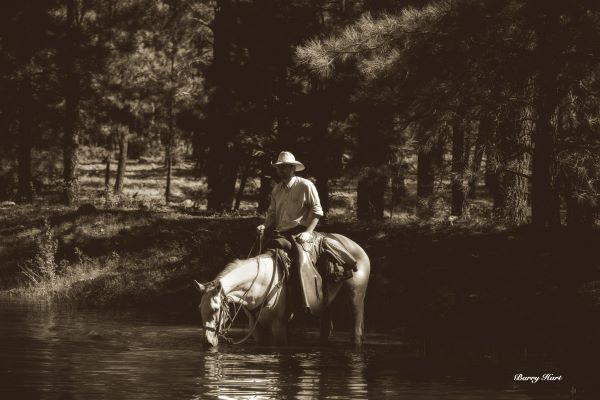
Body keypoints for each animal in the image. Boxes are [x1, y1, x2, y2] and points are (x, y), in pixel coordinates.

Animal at [195, 233, 368, 348]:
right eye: (199, 309)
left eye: (215, 309)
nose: (207, 342)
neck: (261, 284)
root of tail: (357, 247)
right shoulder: (256, 327)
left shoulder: (279, 326)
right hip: (326, 305)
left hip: (355, 297)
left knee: (356, 329)